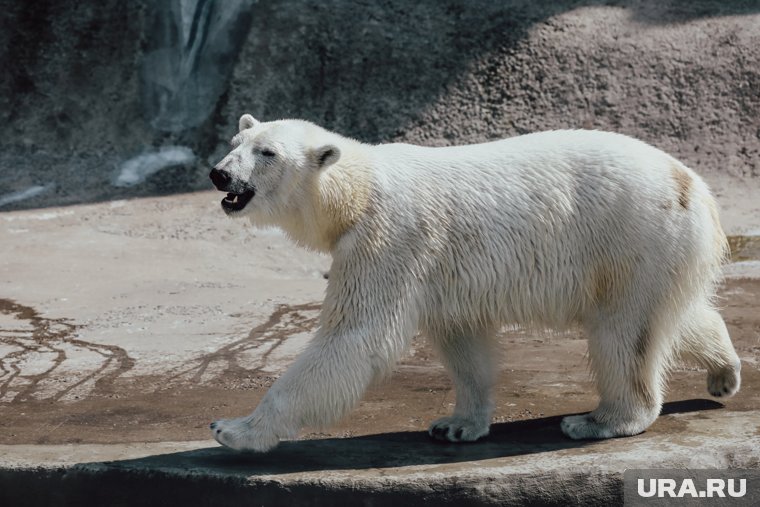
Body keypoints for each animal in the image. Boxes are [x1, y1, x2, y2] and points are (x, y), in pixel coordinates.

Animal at [208, 114, 744, 452]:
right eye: (234, 145)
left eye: (267, 152)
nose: (219, 175)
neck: (358, 190)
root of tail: (693, 184)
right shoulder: (439, 269)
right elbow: (462, 341)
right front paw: (456, 424)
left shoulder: (390, 238)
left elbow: (356, 336)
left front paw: (234, 428)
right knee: (671, 314)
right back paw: (723, 371)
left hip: (633, 236)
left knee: (622, 329)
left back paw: (600, 420)